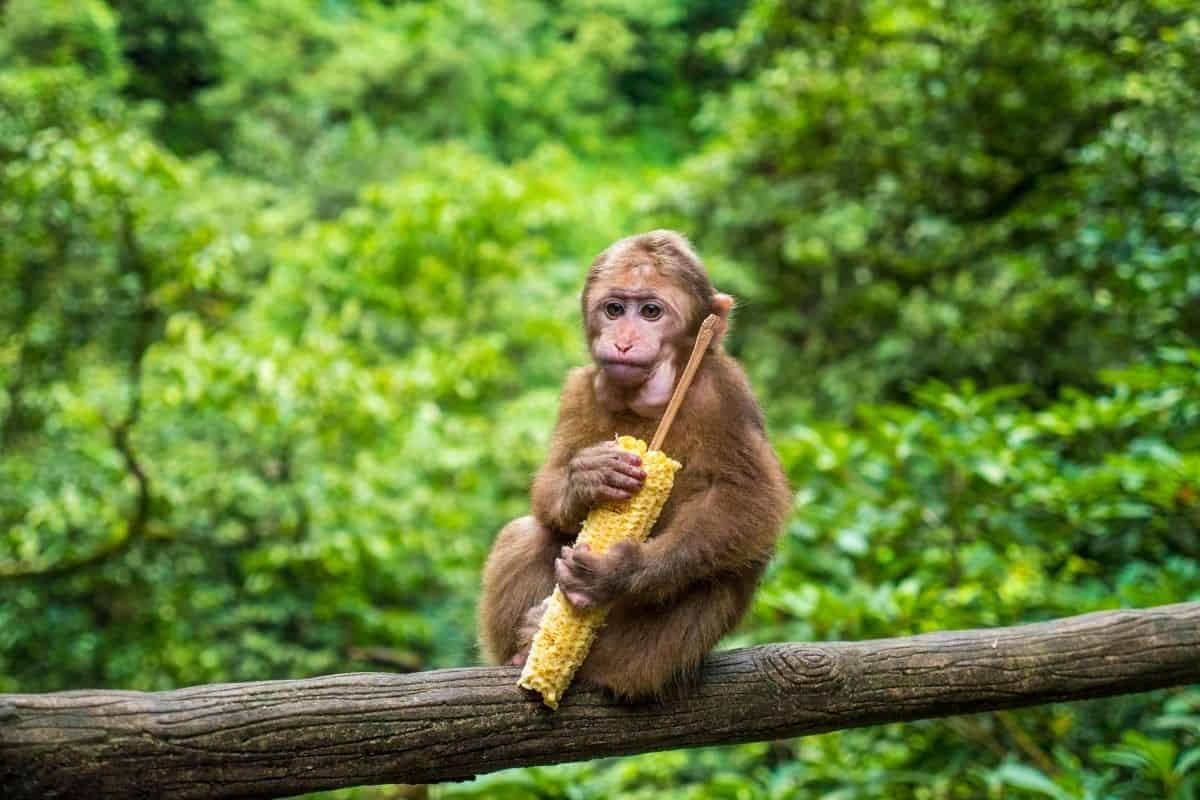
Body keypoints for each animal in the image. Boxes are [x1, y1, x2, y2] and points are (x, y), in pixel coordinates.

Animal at [477, 226, 796, 700]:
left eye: (650, 312)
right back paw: (524, 648)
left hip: (644, 659)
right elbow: (550, 485)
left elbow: (750, 501)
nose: (623, 340)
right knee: (529, 532)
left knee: (716, 574)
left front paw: (619, 571)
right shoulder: (580, 389)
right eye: (614, 309)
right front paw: (586, 478)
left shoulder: (726, 394)